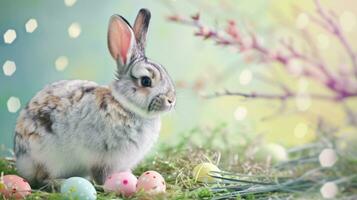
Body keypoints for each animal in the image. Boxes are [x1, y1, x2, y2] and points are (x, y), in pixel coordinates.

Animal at [13, 8, 175, 186]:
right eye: (146, 81)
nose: (171, 100)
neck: (125, 105)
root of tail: (21, 159)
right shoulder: (103, 159)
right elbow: (101, 175)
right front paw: (107, 184)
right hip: (48, 158)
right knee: (42, 178)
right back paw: (60, 182)